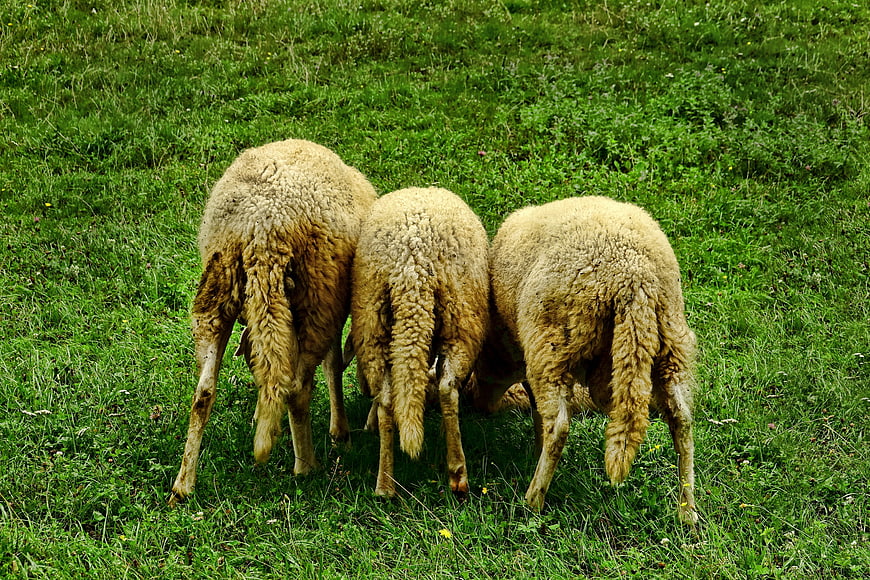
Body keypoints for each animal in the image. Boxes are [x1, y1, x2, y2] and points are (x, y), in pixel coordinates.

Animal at [169, 139, 377, 506]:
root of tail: (262, 228)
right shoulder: (332, 305)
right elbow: (333, 364)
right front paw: (340, 430)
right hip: (315, 297)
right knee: (298, 387)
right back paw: (306, 465)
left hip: (218, 290)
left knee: (204, 392)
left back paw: (183, 484)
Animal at [349, 187, 489, 498]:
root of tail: (411, 263)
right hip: (460, 319)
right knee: (448, 388)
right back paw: (458, 475)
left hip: (372, 321)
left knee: (387, 399)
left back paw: (385, 484)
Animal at [471, 195, 698, 525]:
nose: (478, 407)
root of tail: (635, 278)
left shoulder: (528, 351)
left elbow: (538, 408)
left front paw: (535, 448)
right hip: (671, 342)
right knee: (682, 420)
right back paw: (687, 509)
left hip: (551, 342)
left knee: (559, 426)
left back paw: (533, 500)